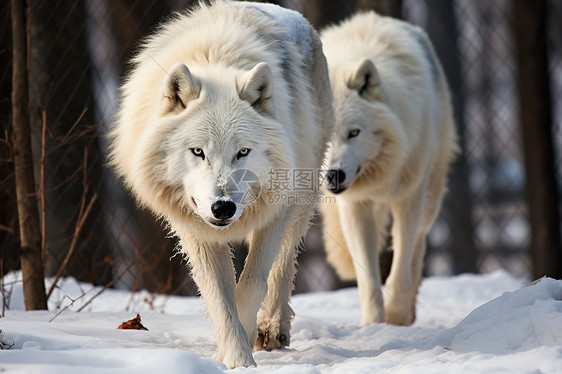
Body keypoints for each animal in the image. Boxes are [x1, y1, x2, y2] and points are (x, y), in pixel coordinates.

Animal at [108, 0, 332, 368]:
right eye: (198, 152)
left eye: (243, 152)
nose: (223, 207)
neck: (217, 59)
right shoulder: (195, 228)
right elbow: (219, 296)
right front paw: (235, 355)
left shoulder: (275, 211)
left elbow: (252, 283)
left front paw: (244, 354)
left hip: (301, 196)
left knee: (285, 261)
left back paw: (273, 328)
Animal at [318, 11, 458, 326]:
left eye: (354, 133)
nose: (333, 174)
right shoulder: (354, 206)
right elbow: (367, 276)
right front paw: (373, 324)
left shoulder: (408, 198)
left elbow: (401, 264)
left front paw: (396, 317)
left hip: (429, 193)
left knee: (418, 245)